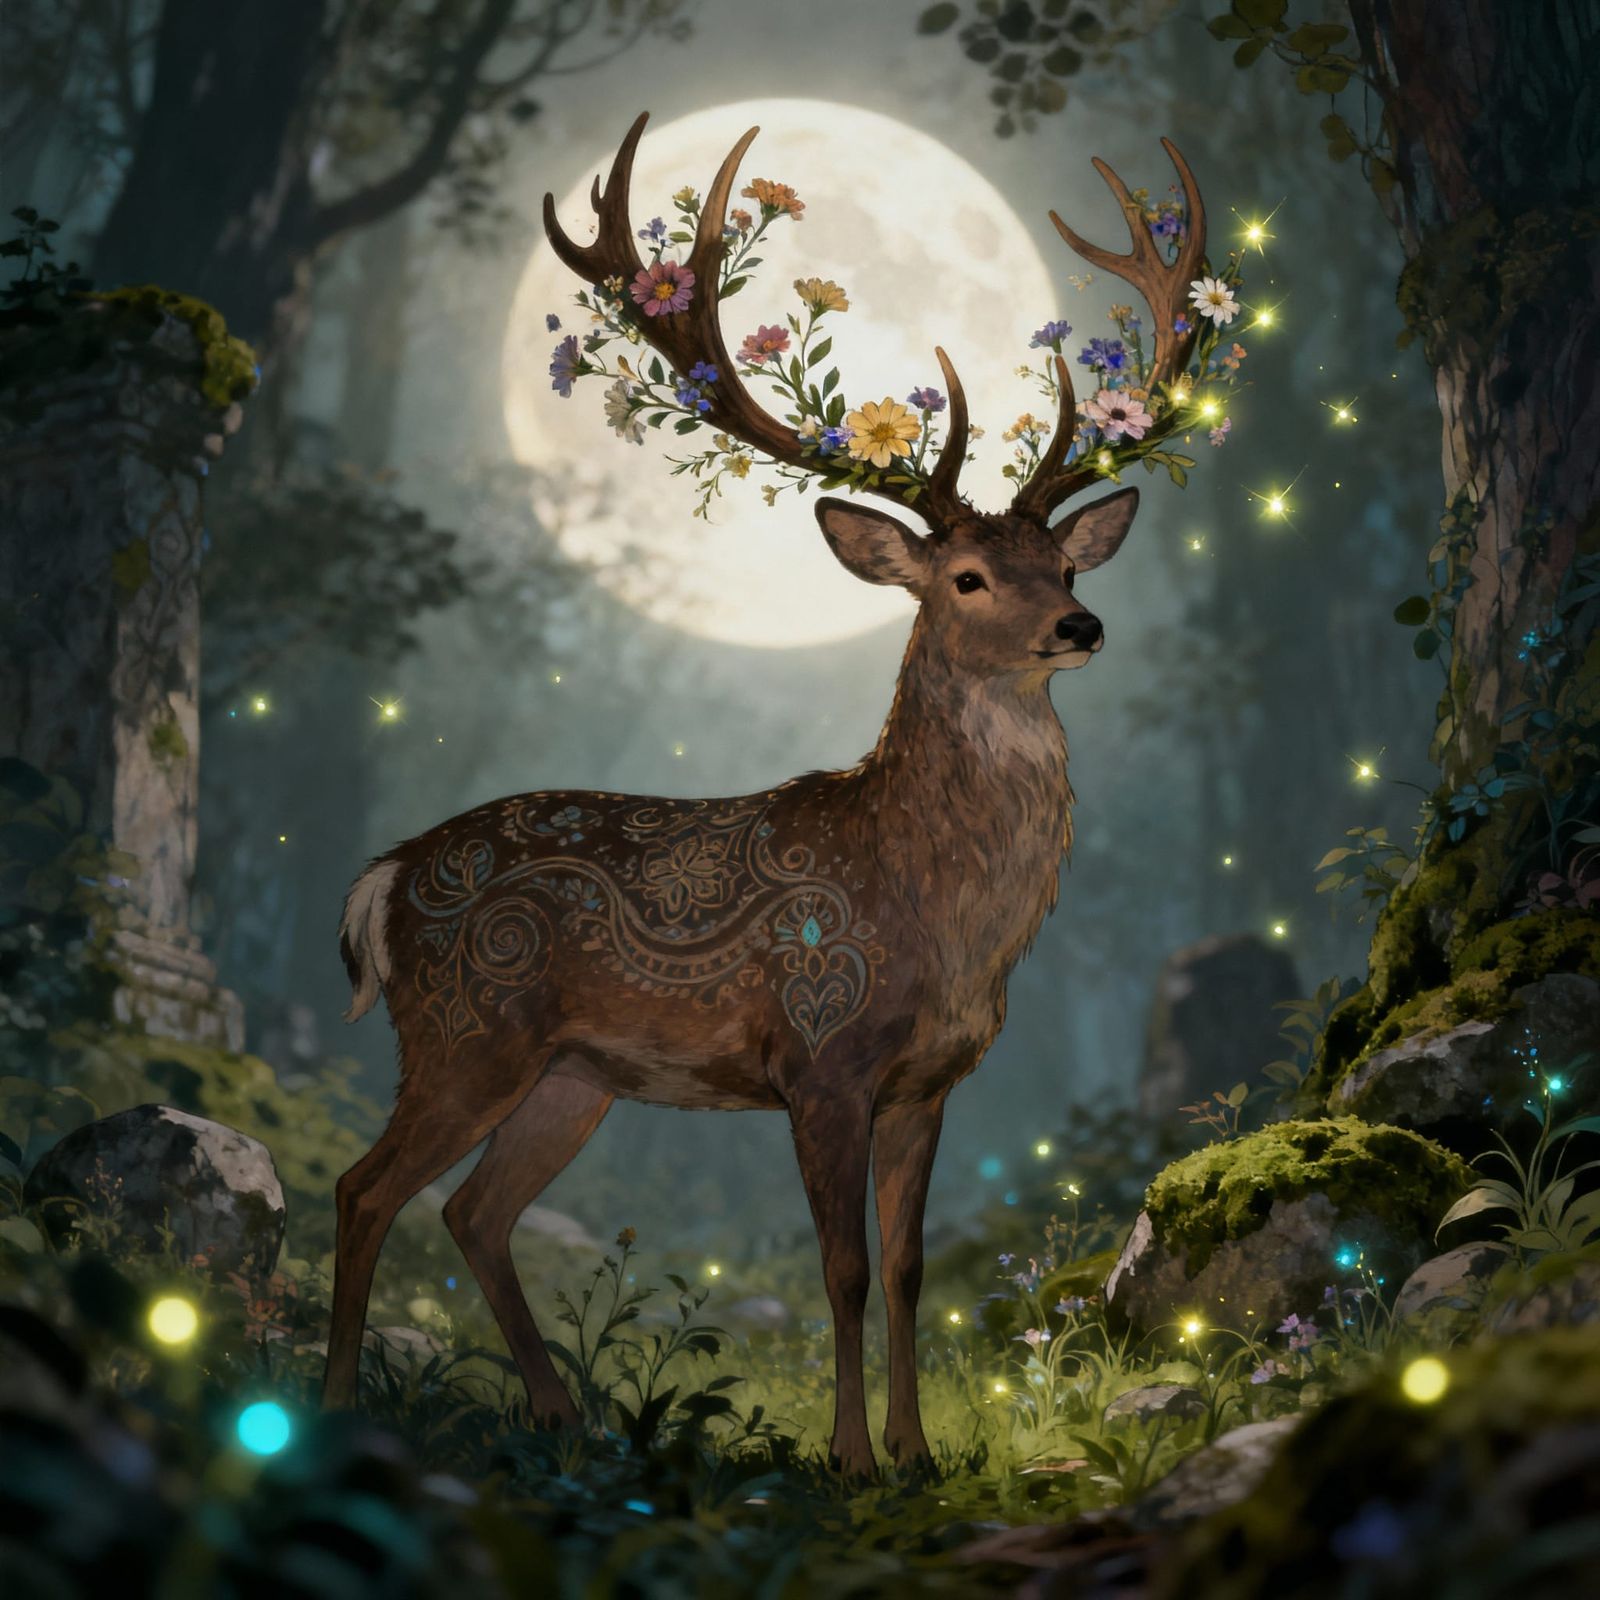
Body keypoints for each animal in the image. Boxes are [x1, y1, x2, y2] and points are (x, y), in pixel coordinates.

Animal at [321, 112, 1207, 1479]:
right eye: (963, 576)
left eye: (1063, 564)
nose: (1080, 624)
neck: (937, 911)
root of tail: (387, 875)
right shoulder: (820, 1054)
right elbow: (841, 1269)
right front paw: (847, 1457)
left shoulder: (930, 1082)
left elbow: (906, 1269)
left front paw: (916, 1454)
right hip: (466, 1030)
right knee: (367, 1188)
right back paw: (334, 1402)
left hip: (572, 1075)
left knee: (472, 1209)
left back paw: (560, 1415)